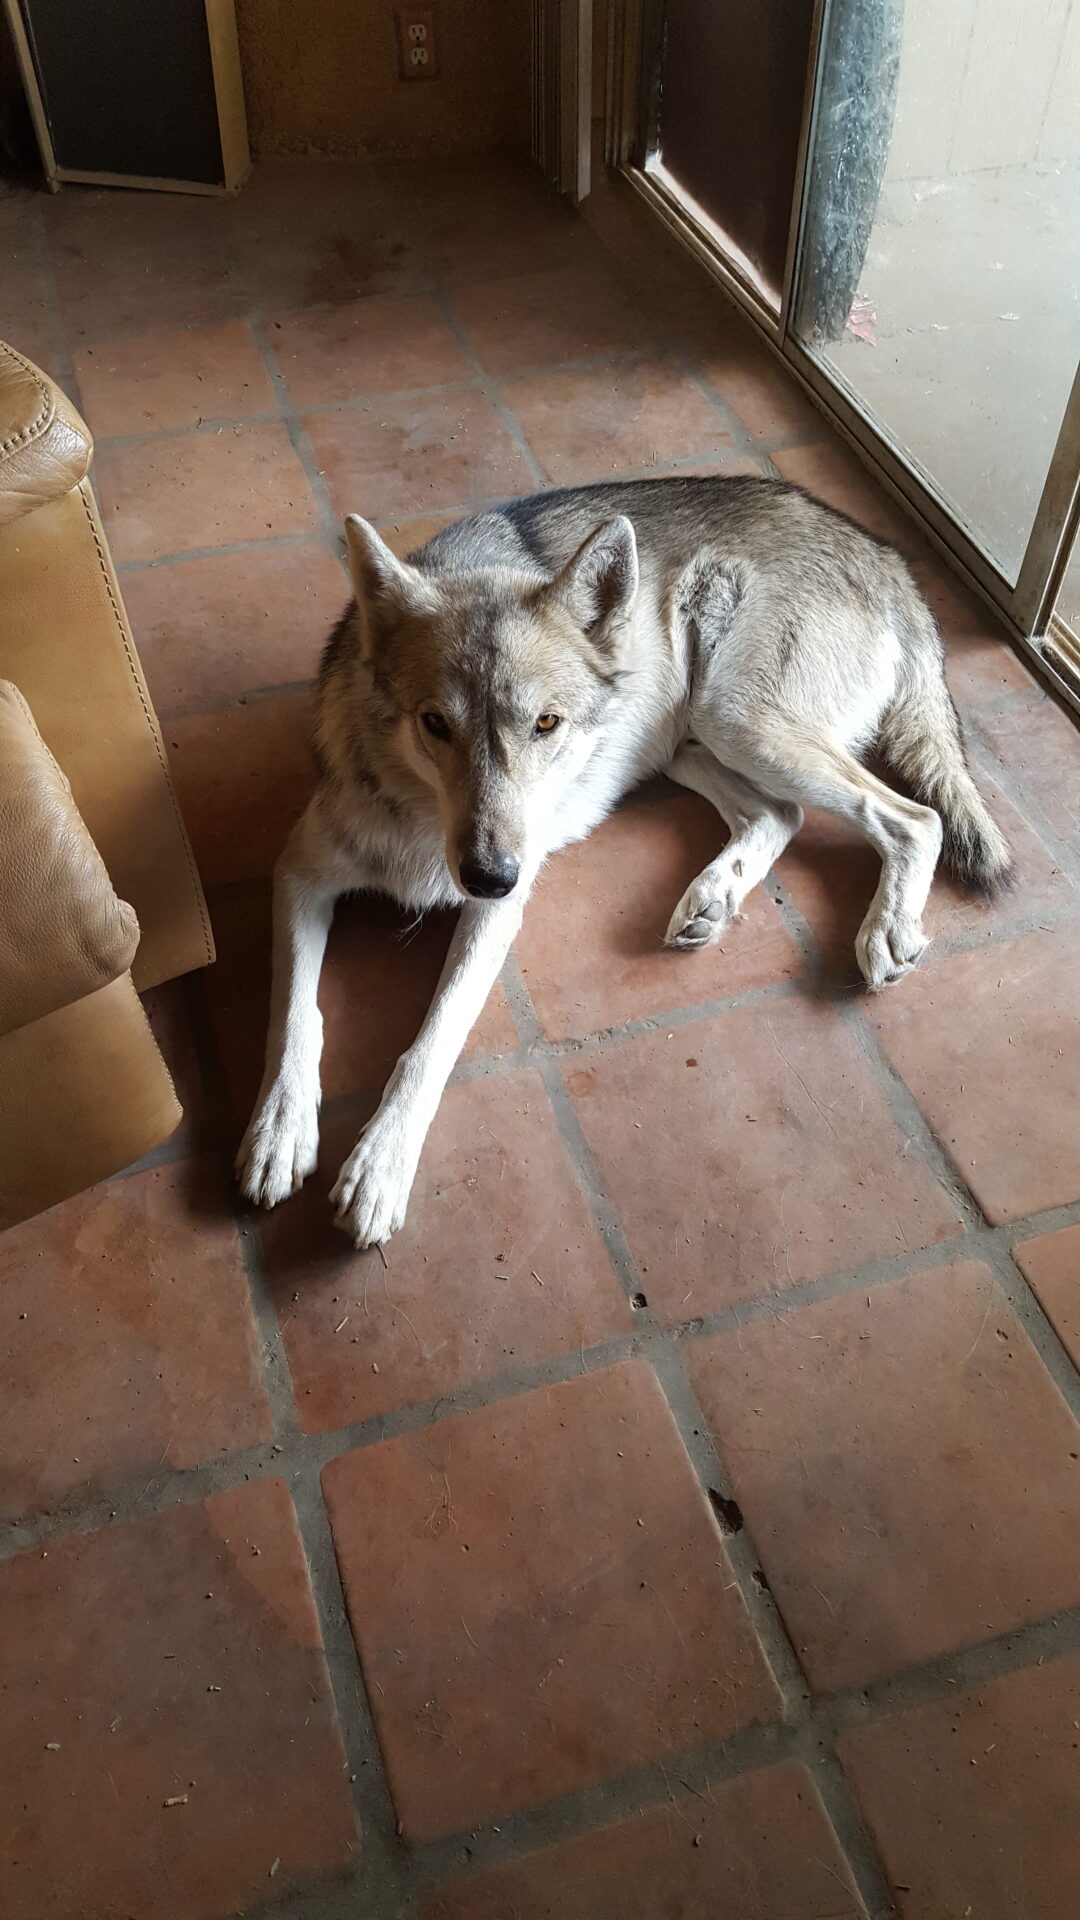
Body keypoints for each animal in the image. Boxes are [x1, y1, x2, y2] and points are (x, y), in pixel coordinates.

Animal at [233, 480, 999, 1244]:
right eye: (435, 725)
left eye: (546, 723)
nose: (489, 876)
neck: (421, 822)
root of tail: (882, 552)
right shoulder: (300, 874)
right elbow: (294, 1014)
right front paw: (278, 1129)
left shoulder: (494, 916)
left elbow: (429, 1043)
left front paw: (380, 1164)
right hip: (695, 740)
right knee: (782, 814)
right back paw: (714, 897)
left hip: (737, 721)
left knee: (913, 819)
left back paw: (885, 927)